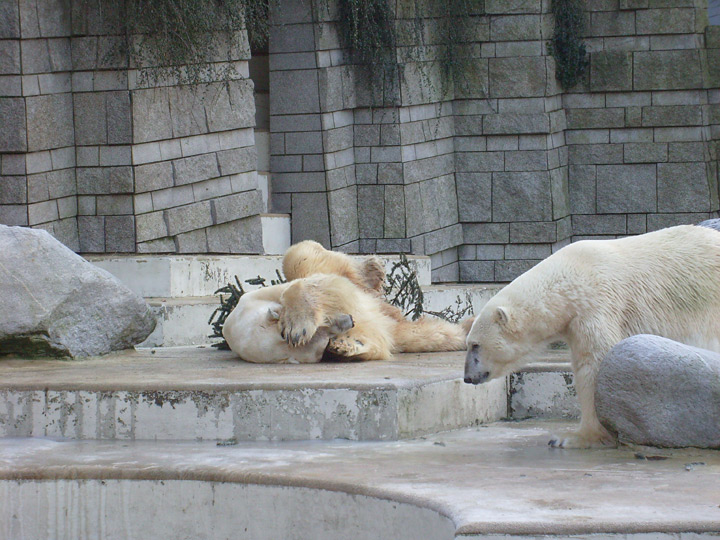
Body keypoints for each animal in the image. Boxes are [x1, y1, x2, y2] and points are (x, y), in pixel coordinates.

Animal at [225, 242, 472, 364]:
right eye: (321, 343)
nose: (349, 321)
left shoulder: (268, 294)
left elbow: (325, 285)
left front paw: (297, 327)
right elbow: (376, 343)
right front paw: (344, 347)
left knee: (301, 256)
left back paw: (372, 270)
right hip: (398, 327)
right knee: (431, 335)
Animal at [464, 224, 720, 448]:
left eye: (475, 345)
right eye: (469, 344)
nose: (467, 377)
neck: (570, 279)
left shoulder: (597, 305)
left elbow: (594, 364)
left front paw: (573, 438)